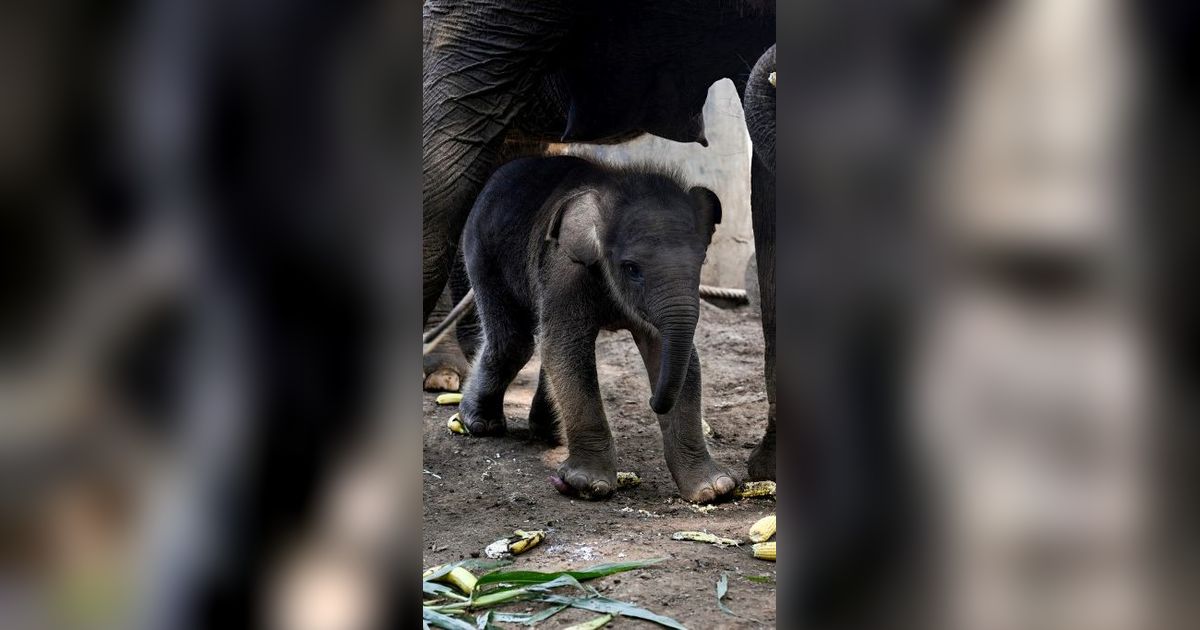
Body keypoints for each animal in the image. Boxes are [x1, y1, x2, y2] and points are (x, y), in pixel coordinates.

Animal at [458, 154, 739, 504]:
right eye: (631, 268)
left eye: (702, 260)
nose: (652, 401)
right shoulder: (564, 268)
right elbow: (567, 346)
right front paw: (586, 485)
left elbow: (674, 355)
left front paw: (714, 489)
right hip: (482, 249)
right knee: (513, 342)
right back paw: (481, 424)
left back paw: (547, 433)